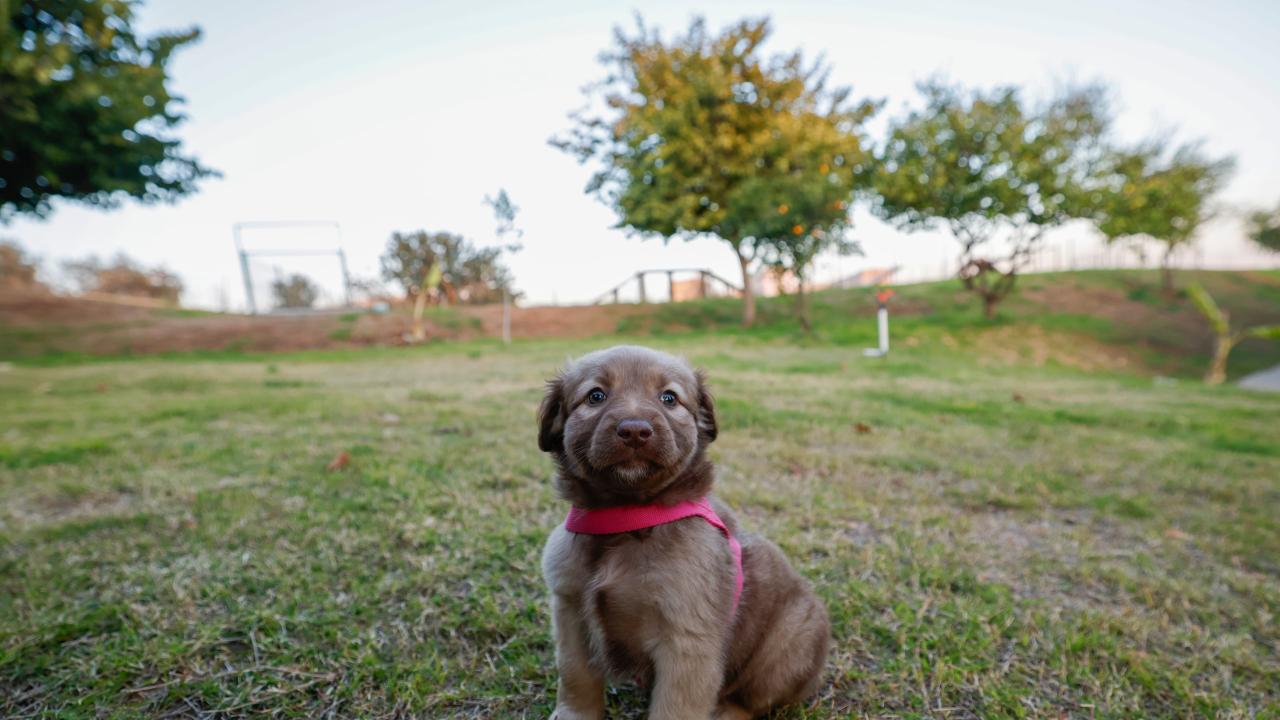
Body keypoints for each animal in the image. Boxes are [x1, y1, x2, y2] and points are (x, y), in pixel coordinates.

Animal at [532, 345, 824, 712]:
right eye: (596, 396)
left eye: (669, 398)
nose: (635, 431)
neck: (629, 517)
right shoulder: (569, 611)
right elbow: (575, 676)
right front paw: (574, 714)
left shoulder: (687, 640)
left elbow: (675, 706)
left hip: (786, 645)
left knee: (750, 700)